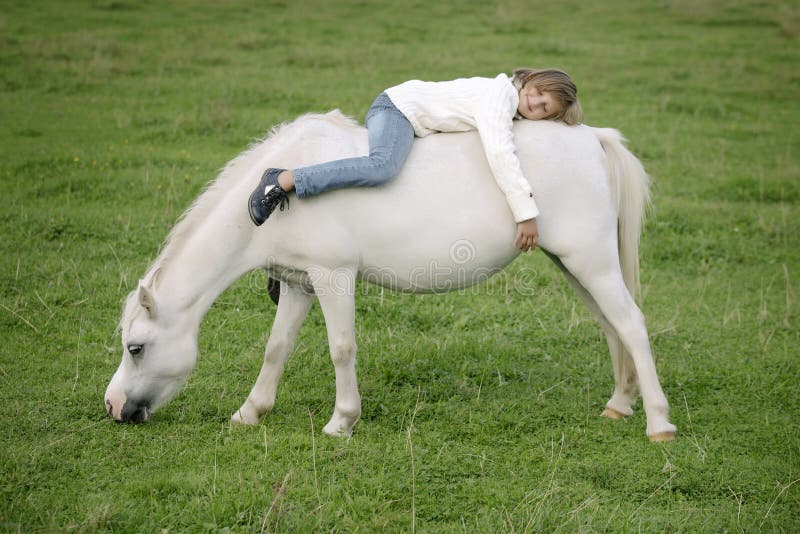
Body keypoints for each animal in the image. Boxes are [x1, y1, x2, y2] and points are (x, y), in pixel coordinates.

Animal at [103, 110, 680, 444]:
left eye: (136, 347)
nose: (112, 407)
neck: (278, 191)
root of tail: (591, 137)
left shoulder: (333, 277)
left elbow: (341, 349)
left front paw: (341, 421)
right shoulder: (298, 283)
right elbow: (276, 348)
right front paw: (251, 412)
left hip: (591, 261)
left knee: (631, 325)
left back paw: (659, 422)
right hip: (576, 265)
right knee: (611, 327)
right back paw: (619, 404)